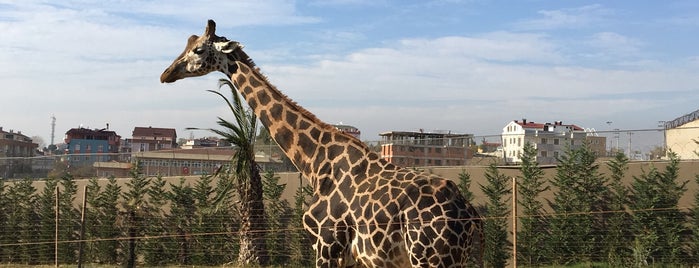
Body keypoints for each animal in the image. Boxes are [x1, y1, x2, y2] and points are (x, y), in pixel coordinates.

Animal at [161, 19, 484, 266]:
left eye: (198, 49)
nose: (166, 73)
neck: (314, 160)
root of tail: (470, 216)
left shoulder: (327, 242)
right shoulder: (351, 255)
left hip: (429, 258)